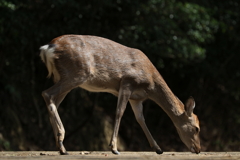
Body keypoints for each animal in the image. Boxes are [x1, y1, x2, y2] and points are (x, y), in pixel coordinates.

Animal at [39, 34, 201, 155]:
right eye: (196, 128)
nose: (198, 149)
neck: (151, 83)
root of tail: (48, 47)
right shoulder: (128, 82)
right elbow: (119, 112)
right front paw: (114, 148)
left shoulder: (137, 98)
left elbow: (140, 119)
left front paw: (158, 148)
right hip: (76, 74)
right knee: (46, 93)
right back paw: (61, 139)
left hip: (63, 76)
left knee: (53, 100)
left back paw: (61, 147)